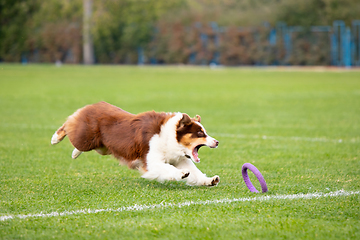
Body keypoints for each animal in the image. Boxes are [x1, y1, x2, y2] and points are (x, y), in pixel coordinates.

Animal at [50, 101, 219, 186]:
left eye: (204, 132)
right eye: (200, 133)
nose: (217, 142)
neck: (170, 136)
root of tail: (94, 104)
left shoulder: (179, 158)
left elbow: (196, 172)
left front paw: (209, 180)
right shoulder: (151, 161)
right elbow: (168, 168)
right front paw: (181, 174)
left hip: (102, 147)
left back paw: (74, 153)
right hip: (85, 137)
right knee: (69, 125)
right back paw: (55, 138)